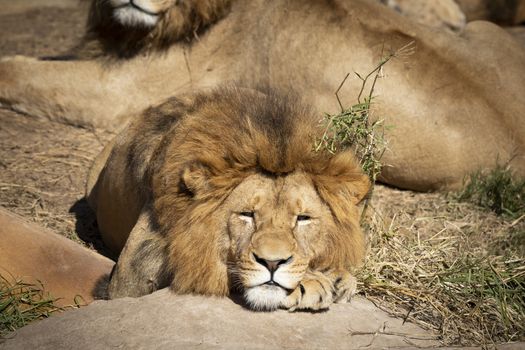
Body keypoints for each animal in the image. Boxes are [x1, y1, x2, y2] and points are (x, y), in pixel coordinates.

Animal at [86, 87, 370, 308]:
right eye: (247, 215)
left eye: (302, 219)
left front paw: (337, 274)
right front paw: (312, 282)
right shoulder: (128, 280)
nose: (272, 262)